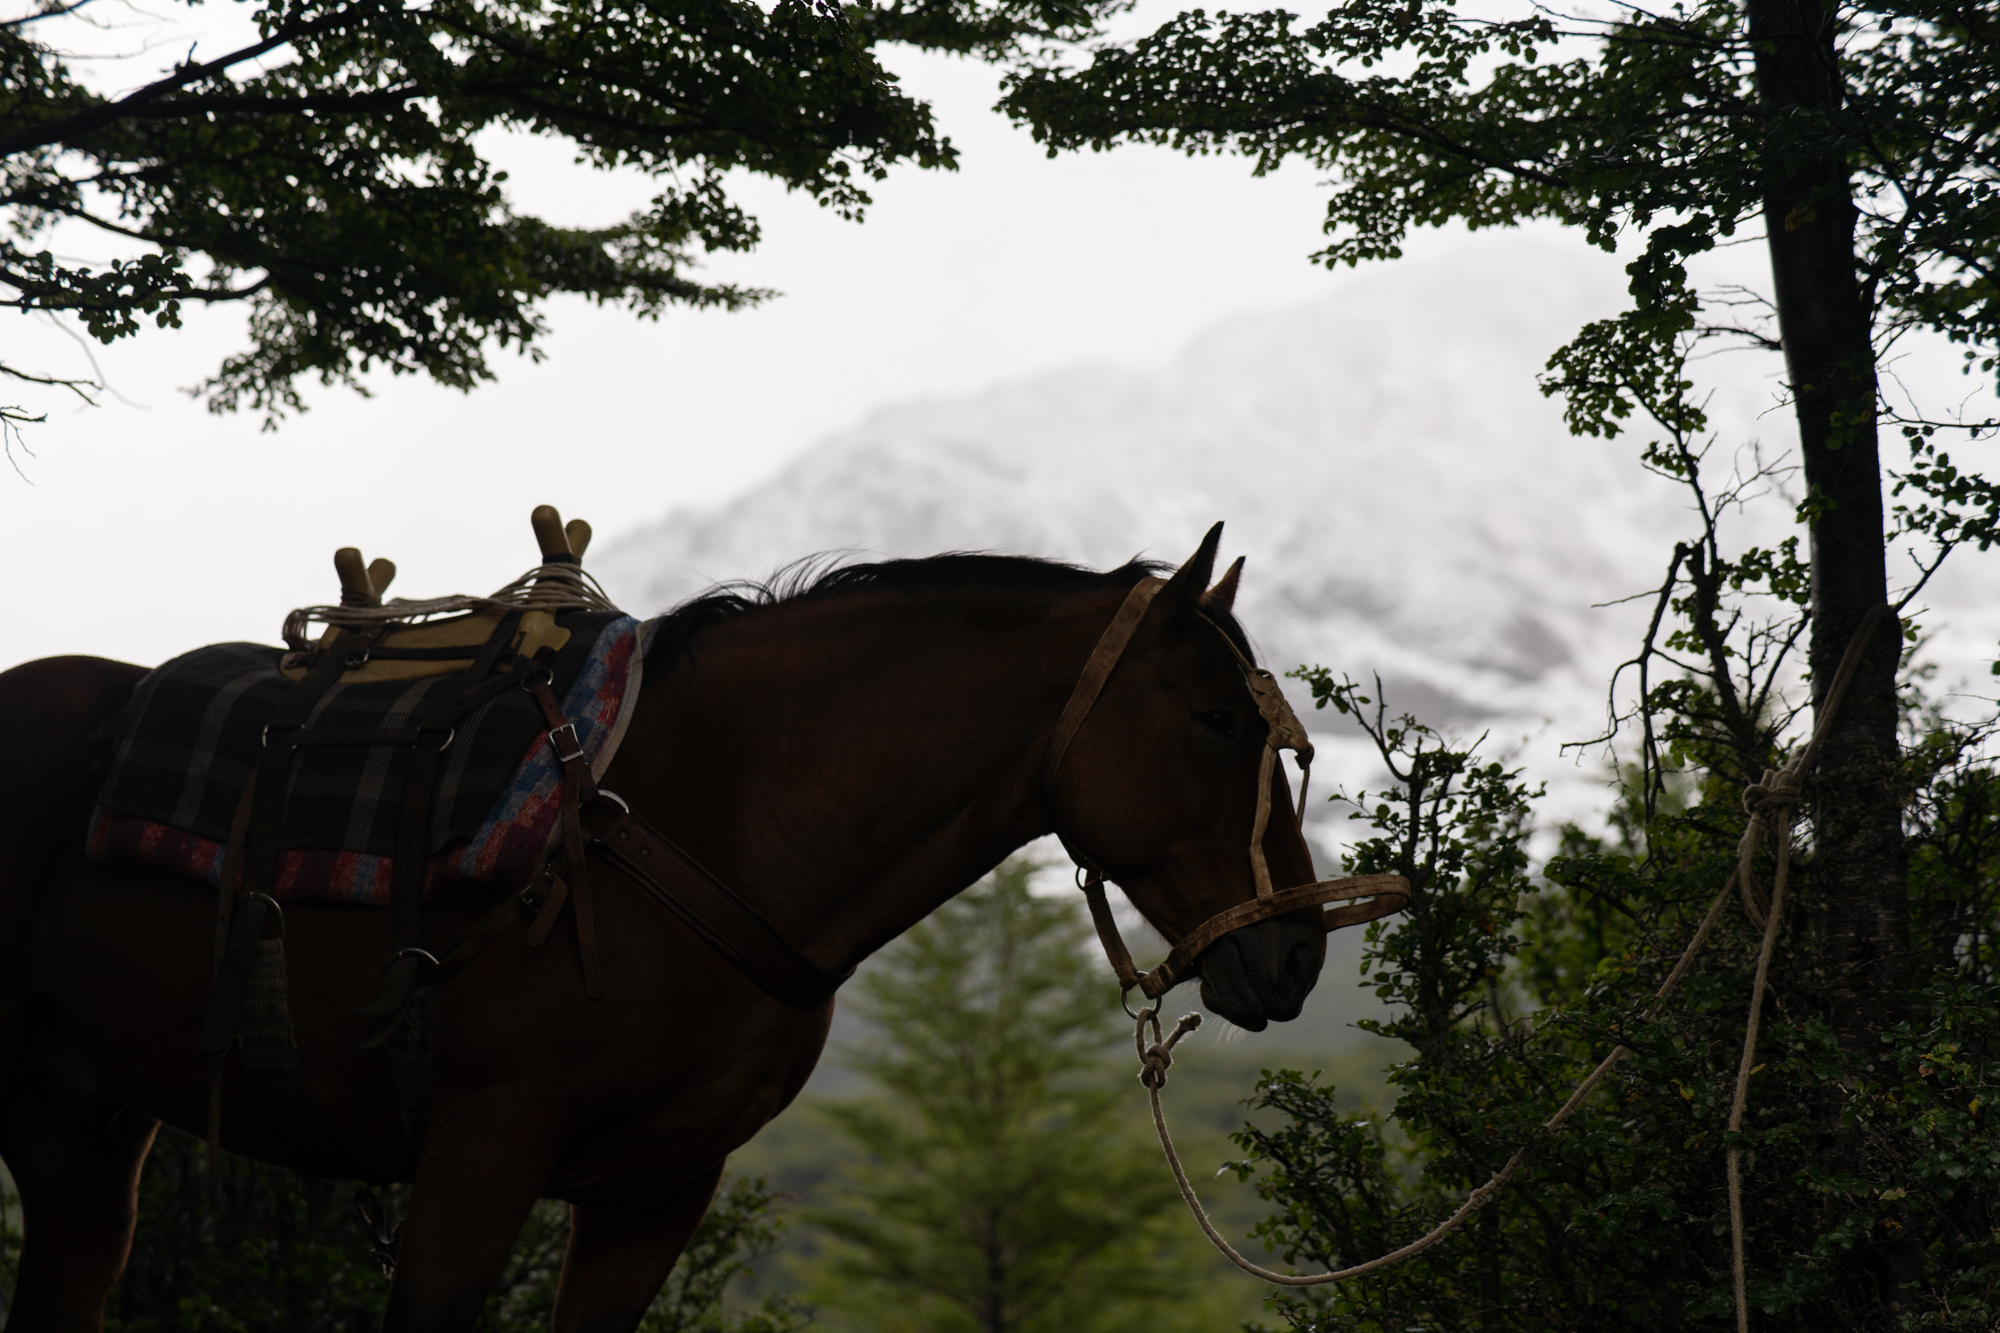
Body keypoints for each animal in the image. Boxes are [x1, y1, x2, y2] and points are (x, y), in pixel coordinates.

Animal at [0, 524, 1334, 1333]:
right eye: (1218, 719)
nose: (1297, 951)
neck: (711, 817)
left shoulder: (657, 1188)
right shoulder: (478, 1151)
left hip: (83, 1125)